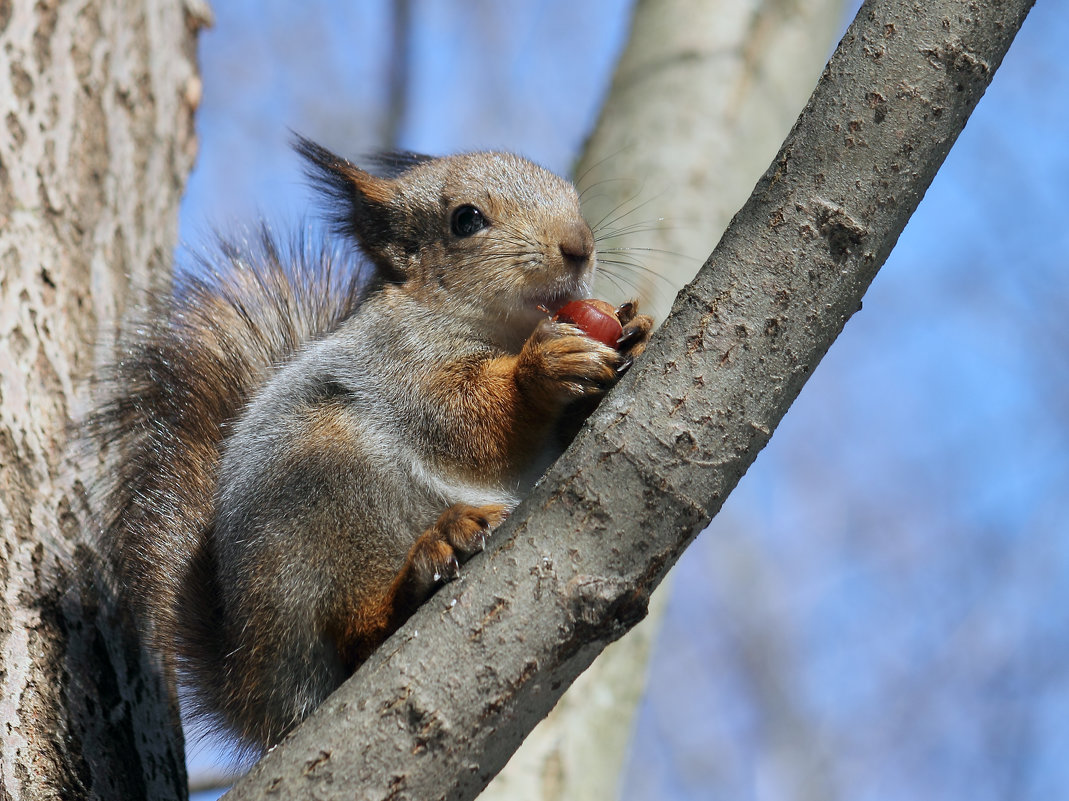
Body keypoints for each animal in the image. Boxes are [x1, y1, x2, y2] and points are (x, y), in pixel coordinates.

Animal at [89, 132, 649, 748]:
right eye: (467, 220)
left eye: (572, 196)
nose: (579, 246)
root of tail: (257, 688)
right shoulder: (399, 364)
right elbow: (466, 423)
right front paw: (544, 365)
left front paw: (634, 332)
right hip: (322, 503)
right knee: (351, 636)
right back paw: (421, 569)